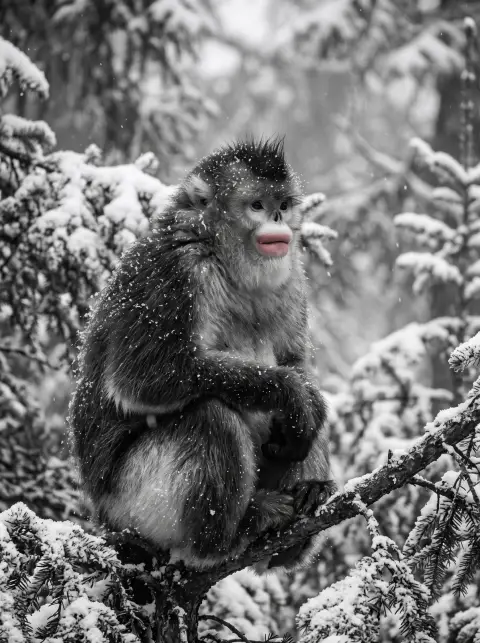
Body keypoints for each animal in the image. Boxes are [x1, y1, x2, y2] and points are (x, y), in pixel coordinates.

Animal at [69, 137, 334, 571]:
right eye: (257, 205)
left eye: (283, 203)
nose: (278, 218)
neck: (223, 259)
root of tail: (104, 517)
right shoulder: (175, 271)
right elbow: (142, 378)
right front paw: (288, 392)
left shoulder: (292, 275)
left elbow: (296, 365)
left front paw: (305, 402)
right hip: (134, 501)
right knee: (211, 416)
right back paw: (227, 536)